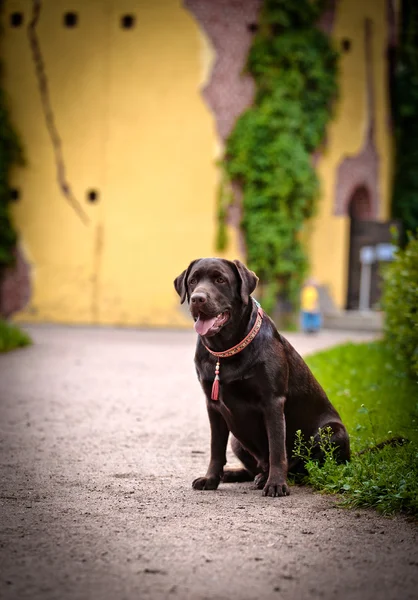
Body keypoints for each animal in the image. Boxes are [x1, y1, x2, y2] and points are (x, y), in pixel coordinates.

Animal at [173, 258, 350, 496]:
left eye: (220, 280)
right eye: (193, 281)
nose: (197, 298)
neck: (224, 350)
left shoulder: (272, 402)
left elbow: (276, 448)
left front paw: (276, 484)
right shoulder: (213, 406)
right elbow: (215, 449)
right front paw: (211, 479)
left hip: (331, 432)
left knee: (302, 467)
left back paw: (268, 478)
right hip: (237, 440)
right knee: (255, 466)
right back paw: (236, 474)